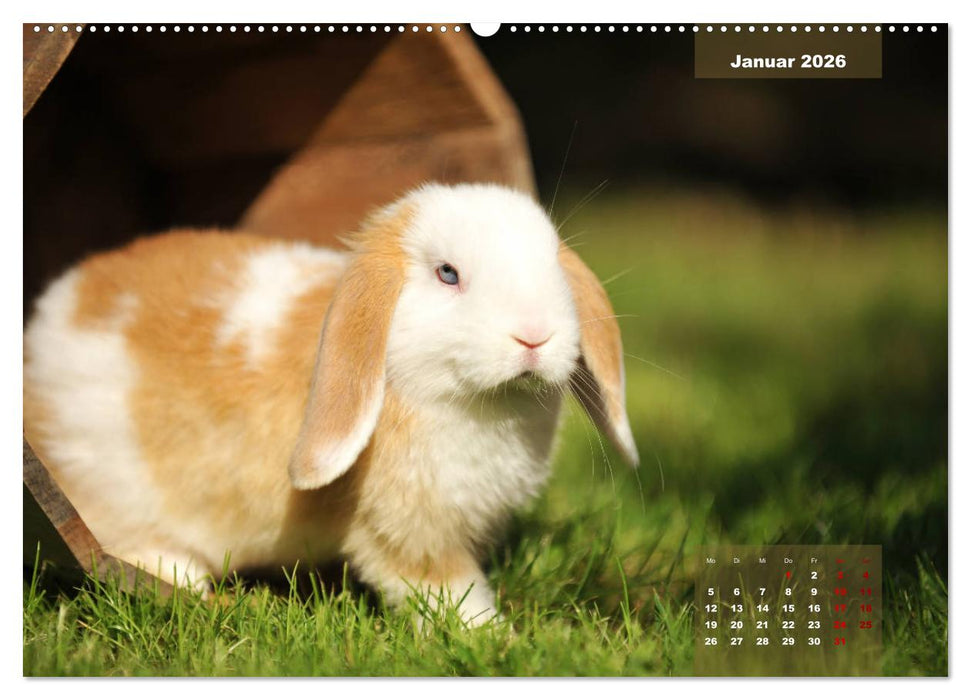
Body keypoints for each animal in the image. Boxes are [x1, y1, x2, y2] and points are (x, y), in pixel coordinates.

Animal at [23, 182, 639, 625]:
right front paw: (491, 638)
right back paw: (183, 576)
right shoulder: (405, 531)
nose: (535, 336)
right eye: (448, 274)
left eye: (552, 265)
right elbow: (449, 587)